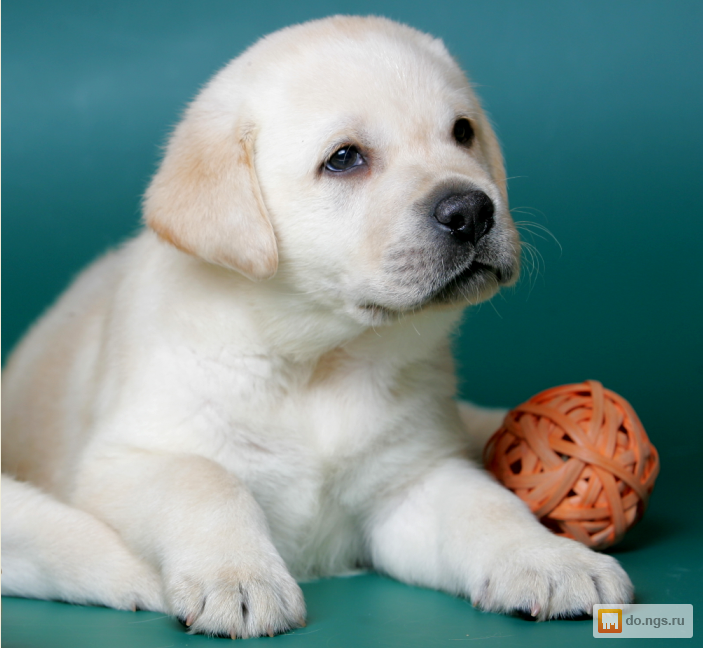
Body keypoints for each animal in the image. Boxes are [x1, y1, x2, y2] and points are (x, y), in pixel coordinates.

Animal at [1, 13, 640, 636]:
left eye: (463, 132)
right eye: (345, 158)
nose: (473, 211)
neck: (321, 358)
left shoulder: (412, 483)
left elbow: (487, 505)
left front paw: (550, 560)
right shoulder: (124, 462)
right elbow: (204, 479)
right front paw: (238, 577)